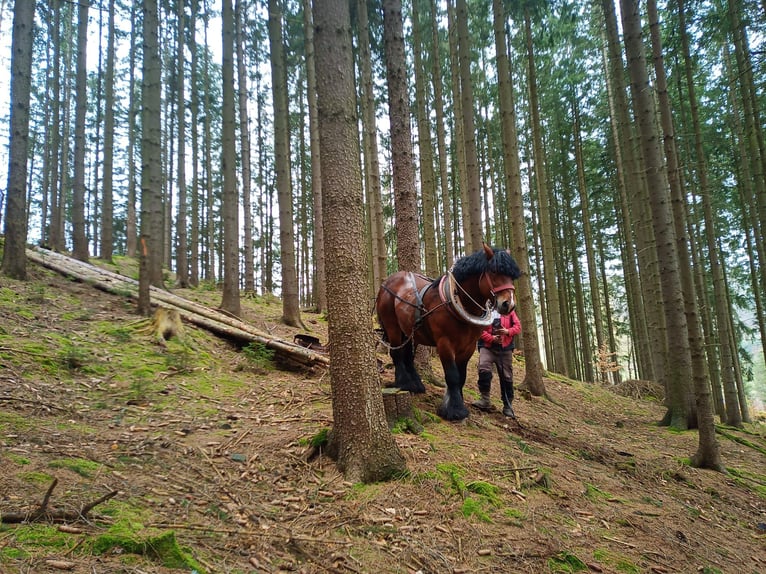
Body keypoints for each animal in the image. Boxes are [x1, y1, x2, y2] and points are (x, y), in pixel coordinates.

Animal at [374, 244, 520, 424]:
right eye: (493, 271)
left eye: (512, 276)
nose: (509, 304)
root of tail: (386, 283)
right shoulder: (445, 343)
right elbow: (452, 375)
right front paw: (455, 410)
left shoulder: (468, 346)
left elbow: (462, 376)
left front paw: (457, 400)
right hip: (392, 326)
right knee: (397, 354)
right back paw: (402, 383)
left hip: (409, 331)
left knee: (408, 355)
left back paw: (415, 385)